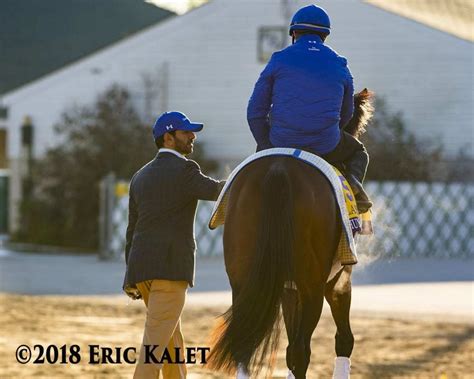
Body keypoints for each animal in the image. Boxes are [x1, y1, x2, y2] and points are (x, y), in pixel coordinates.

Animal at [207, 90, 374, 378]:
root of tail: (279, 170)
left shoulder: (287, 287)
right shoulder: (338, 281)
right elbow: (344, 339)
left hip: (244, 280)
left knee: (246, 347)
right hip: (312, 286)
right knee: (301, 351)